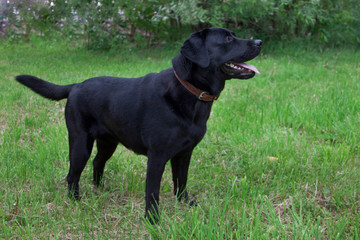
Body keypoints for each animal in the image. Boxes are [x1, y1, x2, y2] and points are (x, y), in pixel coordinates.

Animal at [15, 28, 260, 223]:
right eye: (227, 38)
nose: (258, 42)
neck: (189, 92)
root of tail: (75, 86)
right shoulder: (157, 156)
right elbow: (152, 191)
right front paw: (153, 219)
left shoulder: (184, 153)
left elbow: (181, 181)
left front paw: (185, 204)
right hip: (79, 143)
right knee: (72, 175)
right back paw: (76, 200)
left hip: (108, 142)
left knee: (97, 162)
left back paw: (99, 189)